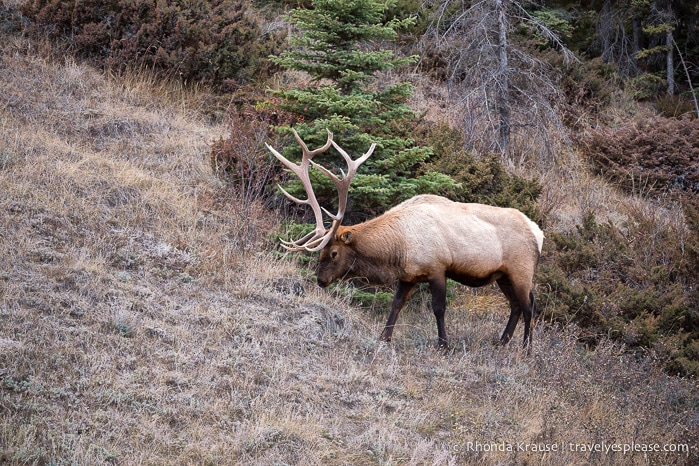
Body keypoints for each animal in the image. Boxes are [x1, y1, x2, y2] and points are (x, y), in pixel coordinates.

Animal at [266, 129, 544, 348]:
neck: (398, 248)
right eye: (322, 253)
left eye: (333, 253)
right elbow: (396, 304)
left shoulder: (437, 267)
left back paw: (526, 348)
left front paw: (443, 344)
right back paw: (502, 341)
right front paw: (384, 338)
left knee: (529, 305)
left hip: (522, 269)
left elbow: (438, 308)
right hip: (503, 275)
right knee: (516, 305)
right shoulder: (408, 275)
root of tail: (538, 233)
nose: (320, 280)